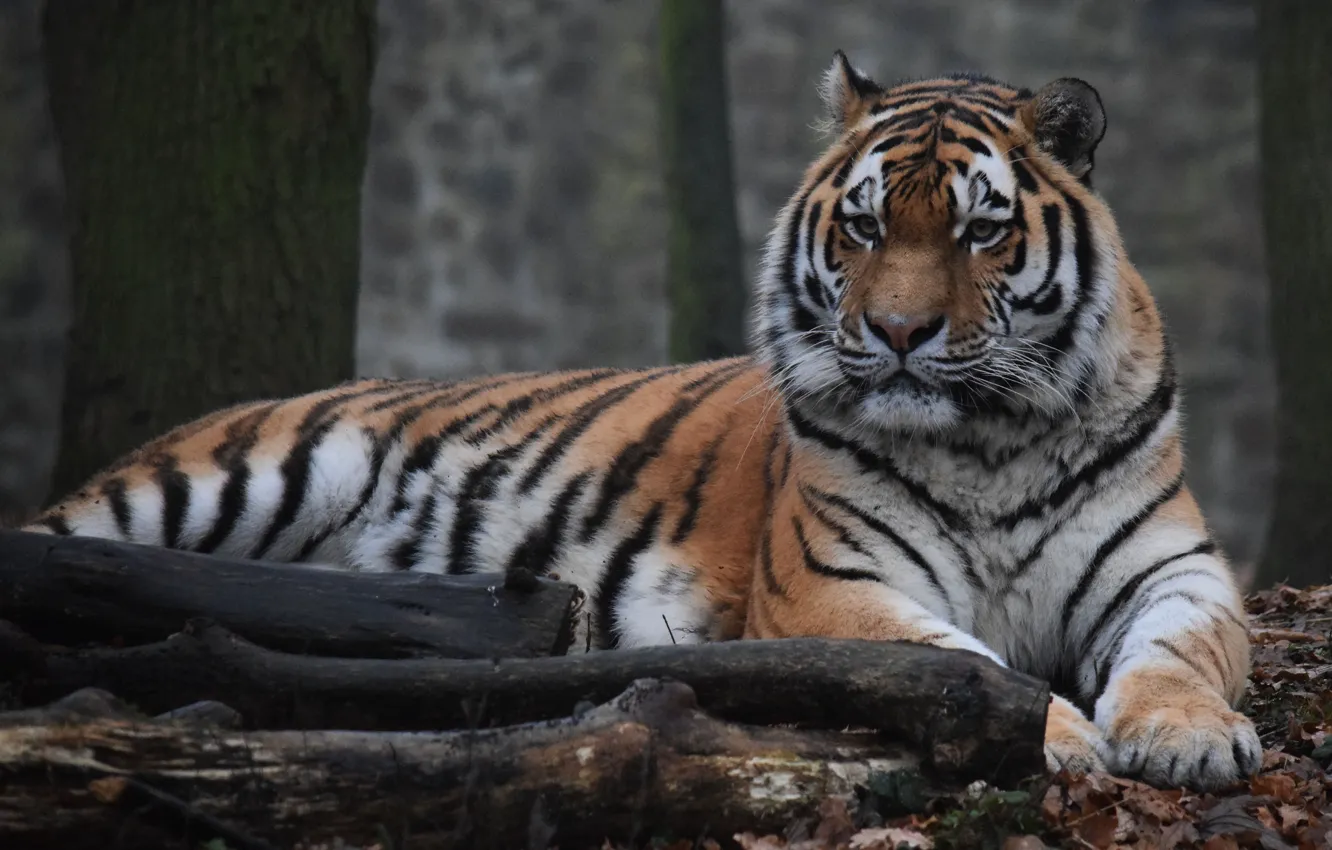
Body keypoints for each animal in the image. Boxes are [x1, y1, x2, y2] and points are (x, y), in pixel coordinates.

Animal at [24, 52, 1259, 792]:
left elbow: (1179, 651)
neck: (988, 441)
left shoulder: (1174, 569)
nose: (901, 332)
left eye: (979, 231)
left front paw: (1190, 735)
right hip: (236, 479)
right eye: (864, 228)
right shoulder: (831, 586)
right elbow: (965, 664)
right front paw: (1060, 734)